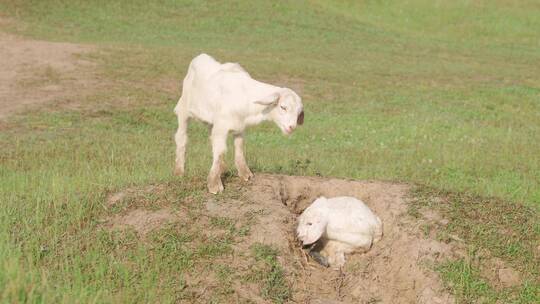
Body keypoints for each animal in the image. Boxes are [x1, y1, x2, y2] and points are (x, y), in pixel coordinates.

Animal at [175, 53, 306, 194]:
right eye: (283, 107)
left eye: (299, 112)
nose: (291, 127)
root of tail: (201, 56)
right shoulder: (221, 126)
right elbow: (220, 151)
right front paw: (214, 184)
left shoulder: (239, 127)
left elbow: (239, 146)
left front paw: (245, 173)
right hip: (184, 108)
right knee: (182, 137)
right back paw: (179, 171)